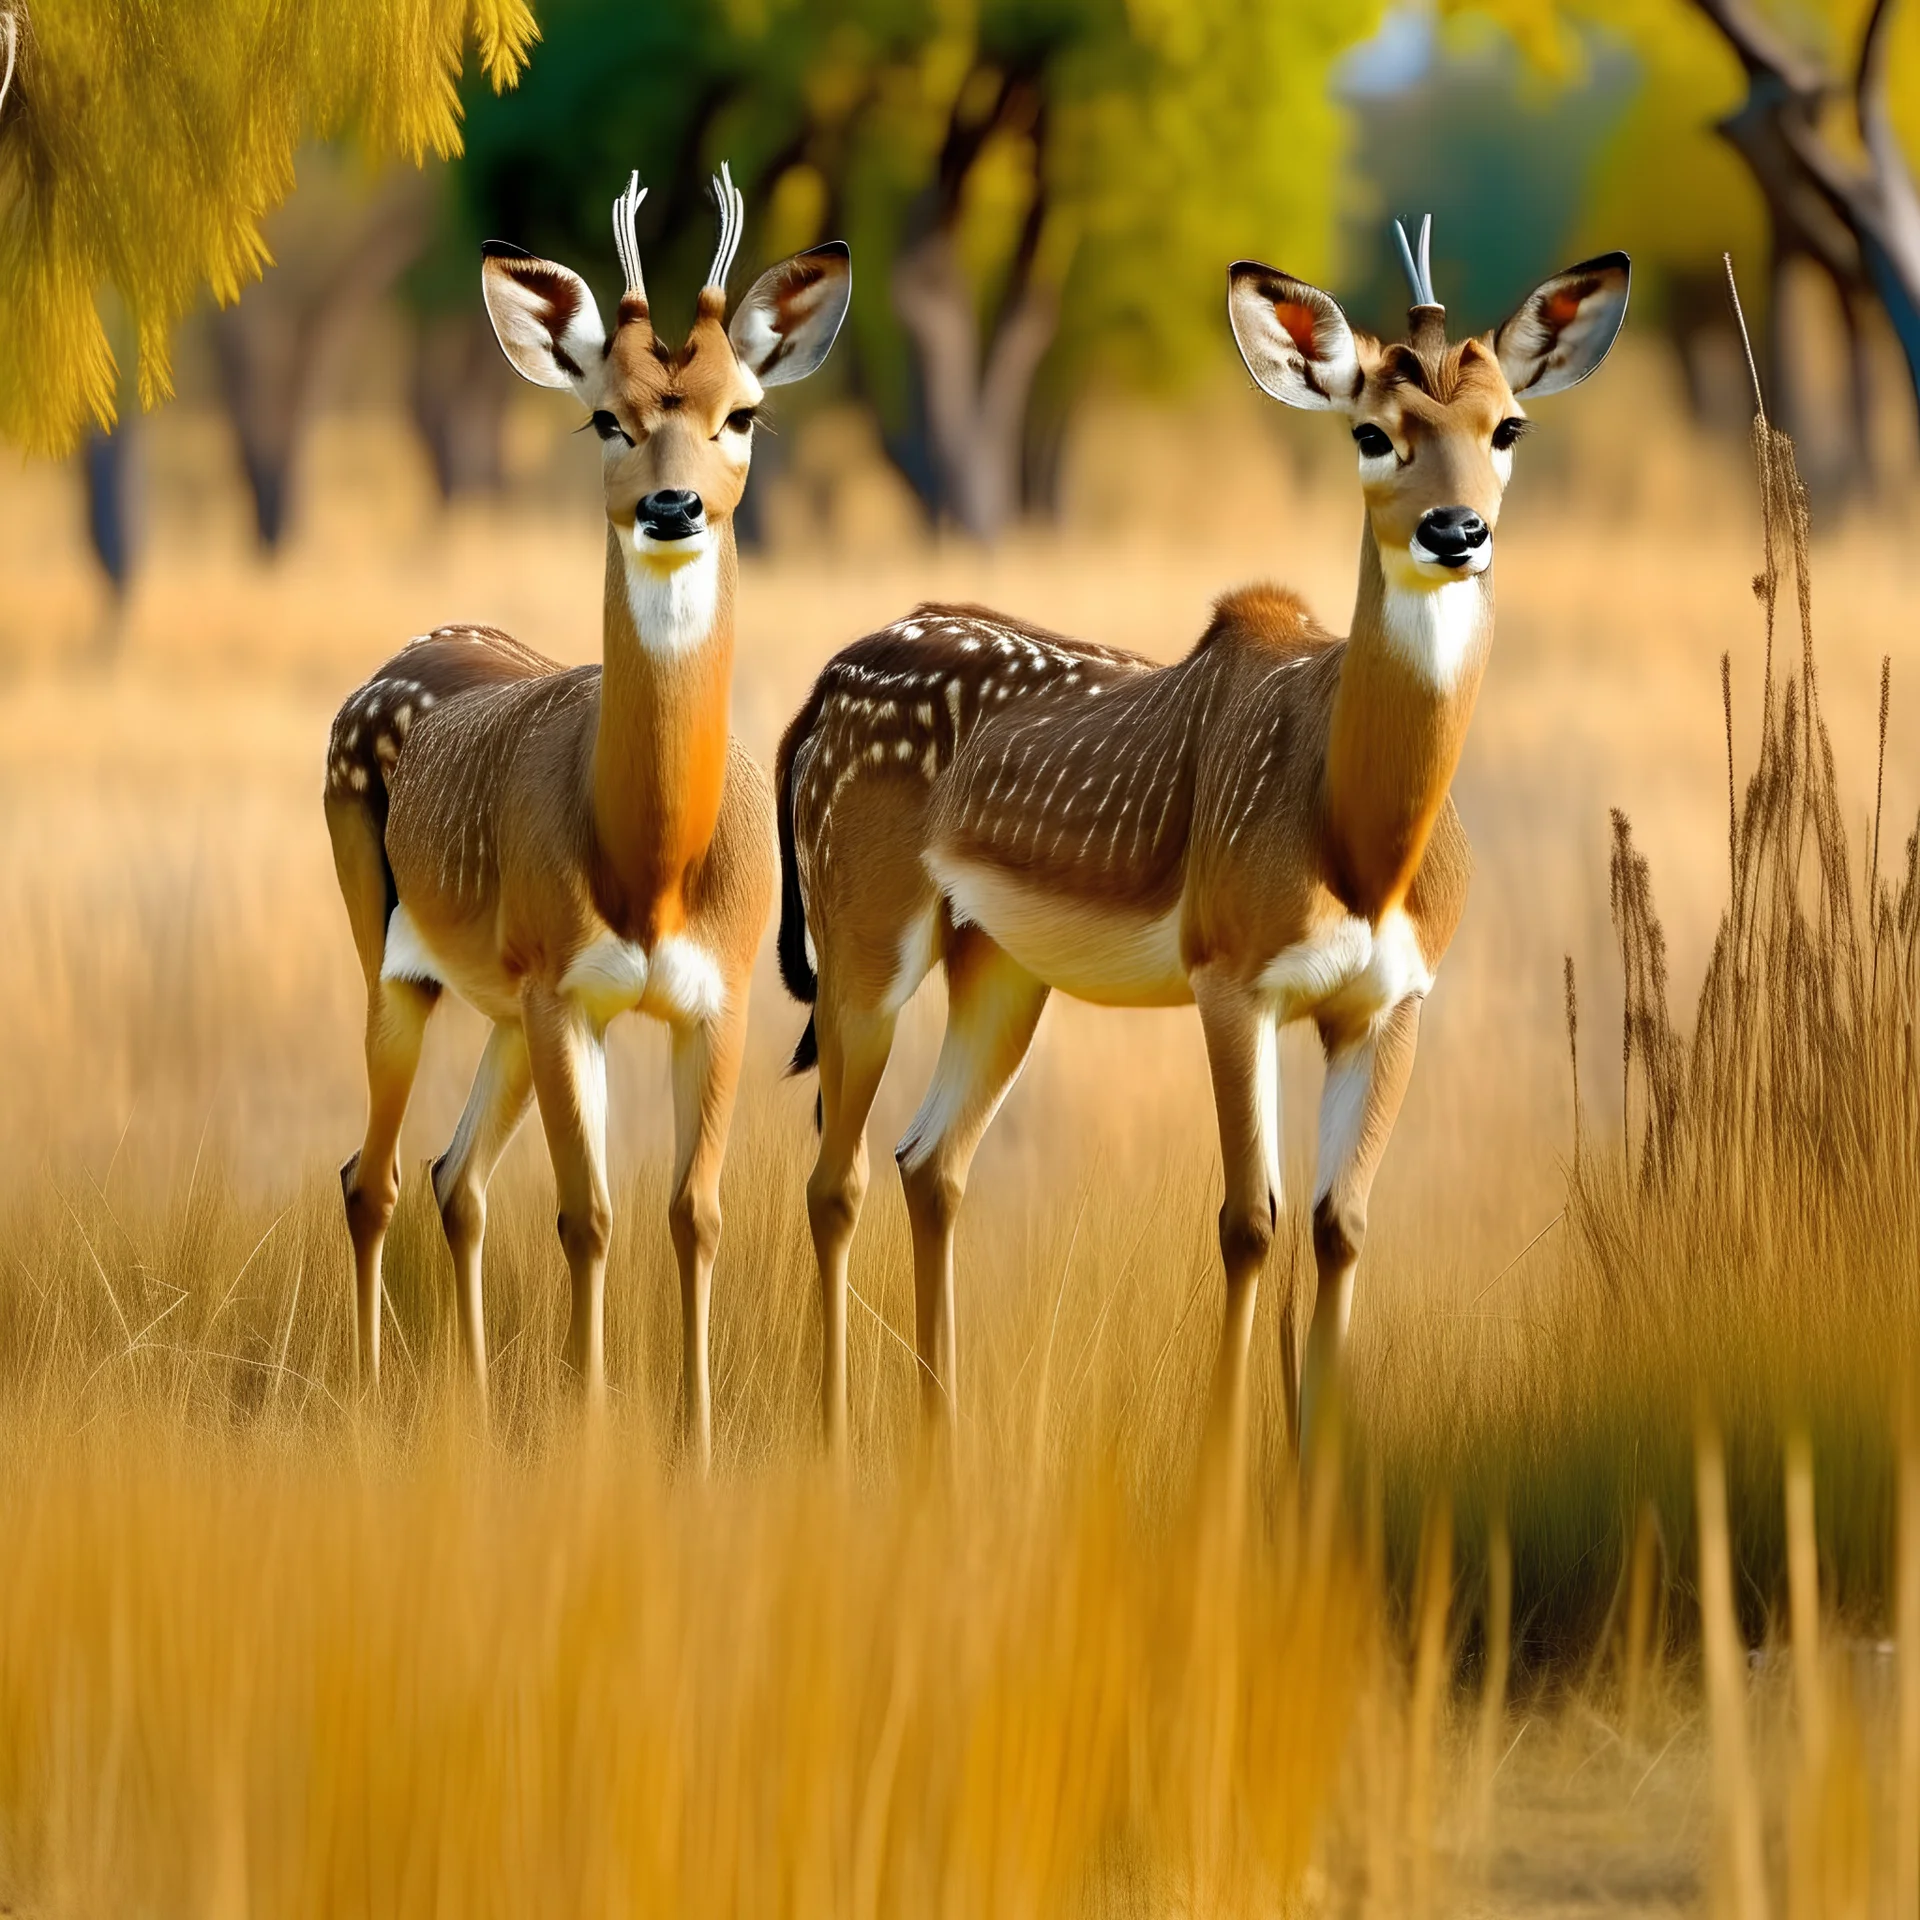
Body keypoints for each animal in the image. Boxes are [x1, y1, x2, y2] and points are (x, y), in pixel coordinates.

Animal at [326, 172, 852, 1459]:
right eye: (606, 418)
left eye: (742, 414)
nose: (671, 503)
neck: (651, 863)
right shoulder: (570, 995)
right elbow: (587, 1214)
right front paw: (590, 1425)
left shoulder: (713, 998)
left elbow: (692, 1212)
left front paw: (694, 1441)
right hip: (396, 965)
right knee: (370, 1178)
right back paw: (371, 1400)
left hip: (505, 1010)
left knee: (453, 1176)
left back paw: (468, 1403)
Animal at [771, 220, 1628, 1451]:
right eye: (1373, 430)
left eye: (1506, 425)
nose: (1454, 531)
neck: (1363, 846)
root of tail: (822, 692)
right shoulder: (1233, 976)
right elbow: (1247, 1220)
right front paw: (1223, 1460)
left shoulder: (1393, 1001)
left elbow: (1340, 1224)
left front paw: (1316, 1461)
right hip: (864, 937)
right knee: (832, 1177)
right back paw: (839, 1436)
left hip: (1002, 967)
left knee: (929, 1162)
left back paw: (947, 1433)